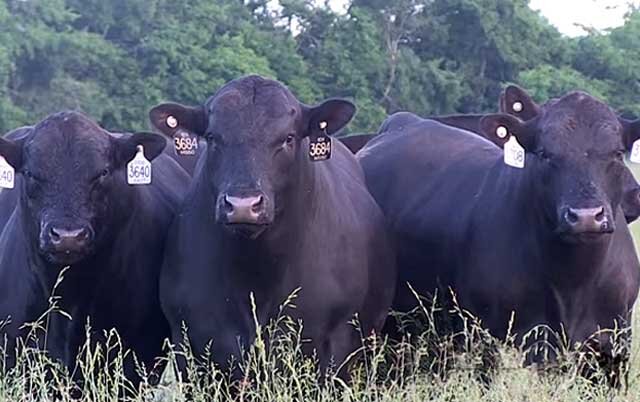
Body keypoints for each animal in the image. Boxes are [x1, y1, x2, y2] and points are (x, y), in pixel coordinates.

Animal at [151, 74, 398, 376]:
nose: (243, 204)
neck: (258, 275)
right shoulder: (189, 340)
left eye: (288, 138)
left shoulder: (339, 342)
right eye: (211, 137)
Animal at [358, 91, 640, 384]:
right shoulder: (500, 339)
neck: (573, 281)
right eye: (544, 154)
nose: (586, 216)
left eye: (617, 153)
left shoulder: (613, 345)